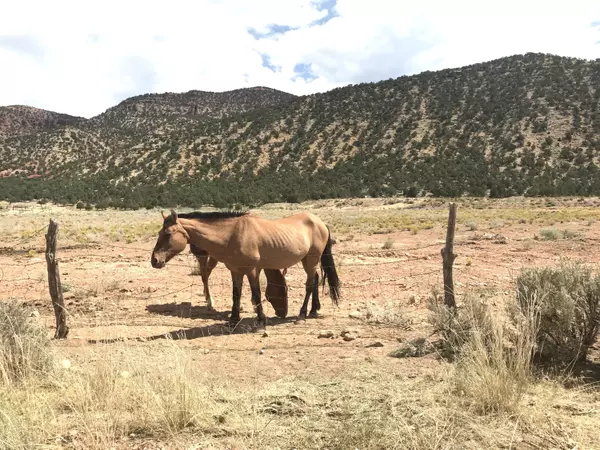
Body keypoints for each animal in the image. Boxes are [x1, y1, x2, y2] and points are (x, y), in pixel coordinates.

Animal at [150, 209, 340, 328]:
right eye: (159, 233)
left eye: (168, 234)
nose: (154, 260)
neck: (231, 234)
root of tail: (320, 223)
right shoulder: (235, 271)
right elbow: (236, 294)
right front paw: (233, 320)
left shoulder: (251, 270)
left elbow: (256, 294)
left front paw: (261, 321)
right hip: (307, 260)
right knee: (315, 280)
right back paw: (313, 310)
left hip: (312, 259)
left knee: (309, 284)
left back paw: (301, 315)